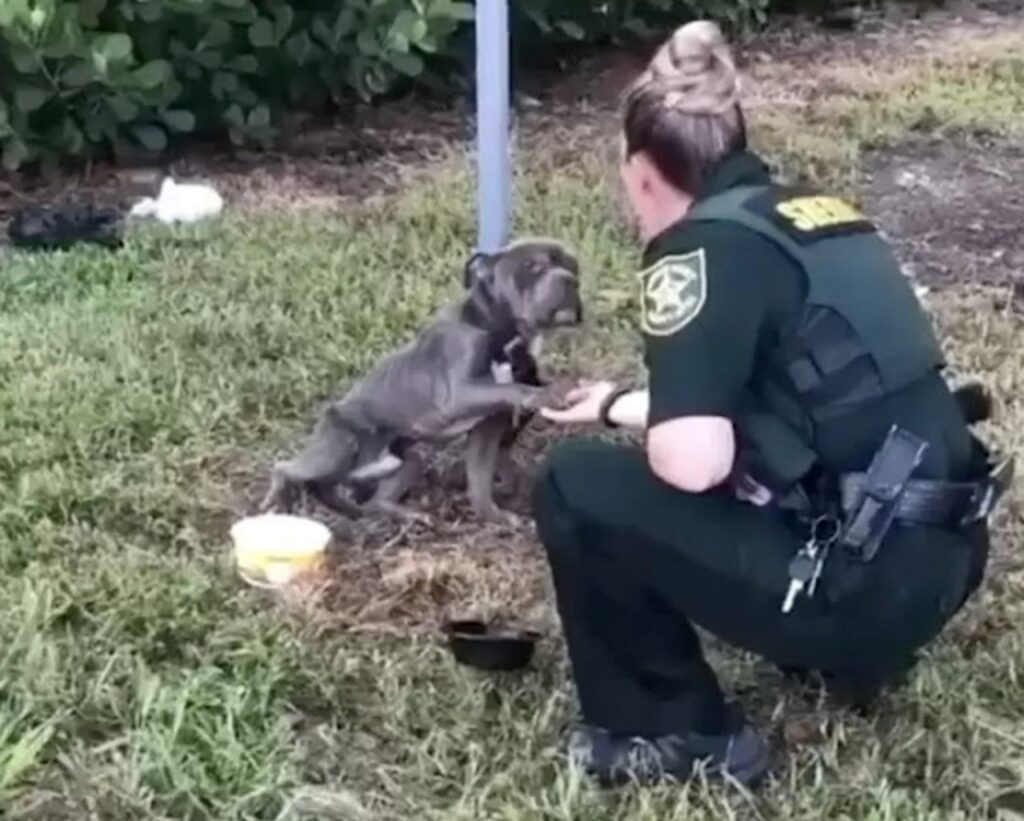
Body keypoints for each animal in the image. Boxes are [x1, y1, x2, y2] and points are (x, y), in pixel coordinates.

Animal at [262, 236, 585, 522]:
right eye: (532, 266)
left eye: (572, 265)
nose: (570, 279)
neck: (502, 332)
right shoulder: (458, 393)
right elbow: (513, 388)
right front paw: (545, 394)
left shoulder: (487, 429)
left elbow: (480, 481)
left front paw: (495, 516)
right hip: (341, 446)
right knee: (287, 468)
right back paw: (280, 496)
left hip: (406, 462)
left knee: (371, 500)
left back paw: (406, 515)